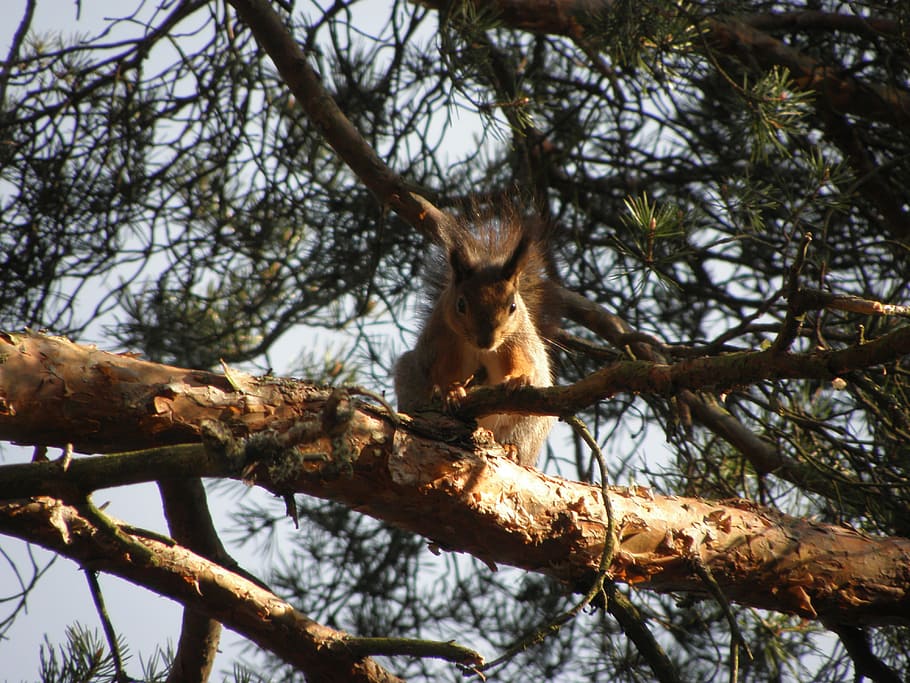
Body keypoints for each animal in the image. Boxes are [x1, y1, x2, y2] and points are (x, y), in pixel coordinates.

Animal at [394, 209, 556, 467]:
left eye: (512, 306)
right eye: (461, 304)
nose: (486, 340)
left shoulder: (517, 340)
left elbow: (524, 361)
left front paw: (518, 378)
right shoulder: (439, 342)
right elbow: (440, 370)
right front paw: (452, 390)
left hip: (530, 424)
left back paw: (511, 448)